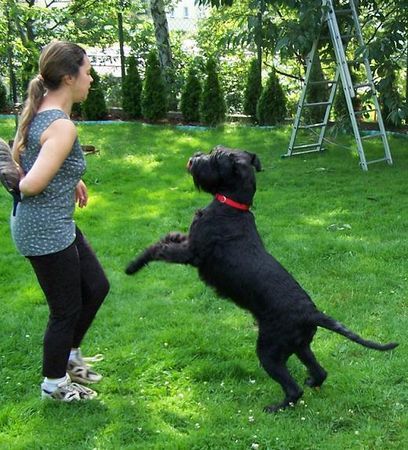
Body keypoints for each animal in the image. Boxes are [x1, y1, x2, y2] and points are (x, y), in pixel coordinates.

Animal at [125, 146, 398, 414]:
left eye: (216, 157)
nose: (194, 158)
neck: (233, 205)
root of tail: (312, 313)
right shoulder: (188, 242)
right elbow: (168, 237)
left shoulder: (191, 253)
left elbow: (158, 250)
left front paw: (131, 267)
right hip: (300, 346)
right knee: (319, 371)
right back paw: (312, 381)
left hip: (269, 351)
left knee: (293, 389)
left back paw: (276, 407)